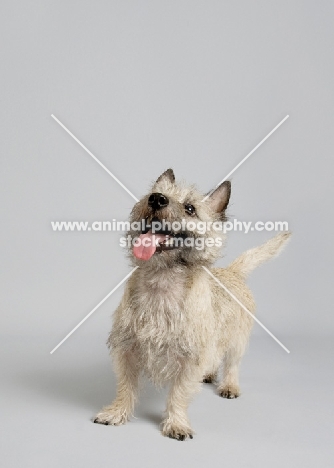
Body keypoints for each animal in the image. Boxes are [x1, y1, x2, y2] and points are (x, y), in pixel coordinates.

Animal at [92, 170, 290, 440]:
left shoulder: (191, 359)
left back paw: (229, 385)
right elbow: (126, 386)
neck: (161, 281)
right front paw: (117, 413)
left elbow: (179, 393)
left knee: (232, 364)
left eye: (190, 208)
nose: (156, 199)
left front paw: (176, 423)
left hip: (237, 341)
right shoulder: (127, 350)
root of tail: (232, 272)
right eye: (153, 193)